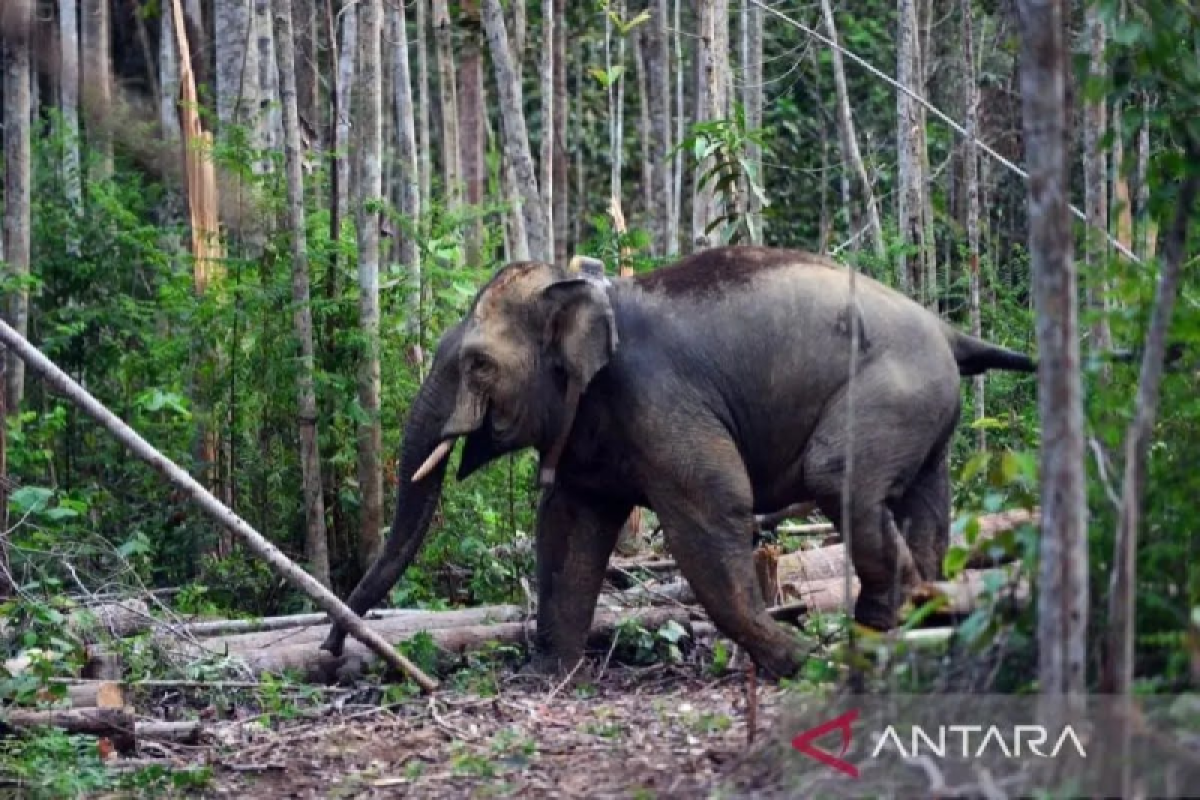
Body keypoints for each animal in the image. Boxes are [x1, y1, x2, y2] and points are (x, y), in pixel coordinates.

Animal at [321, 245, 1041, 681]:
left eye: (477, 364)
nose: (332, 652)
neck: (590, 292)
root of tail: (949, 331)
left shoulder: (658, 398)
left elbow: (712, 510)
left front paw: (797, 659)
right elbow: (569, 530)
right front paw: (548, 674)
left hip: (893, 390)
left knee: (840, 480)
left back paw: (873, 635)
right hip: (931, 411)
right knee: (927, 501)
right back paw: (926, 613)